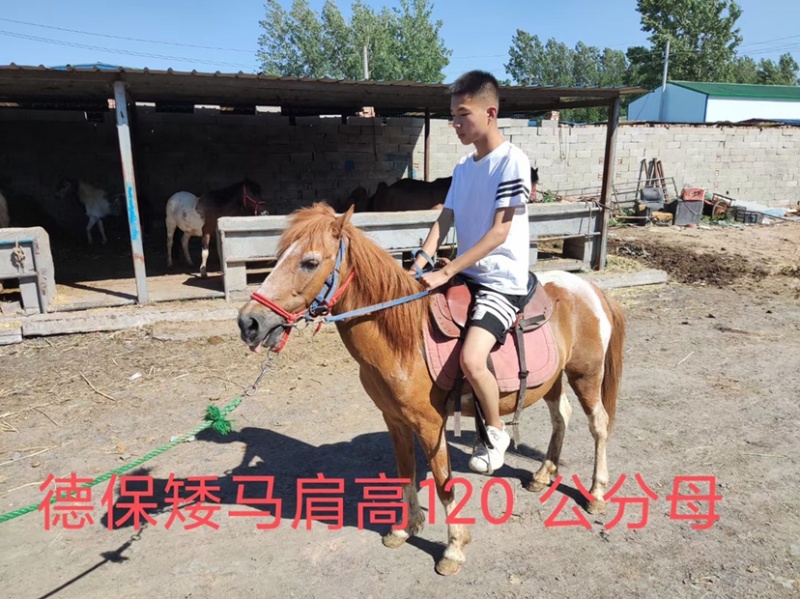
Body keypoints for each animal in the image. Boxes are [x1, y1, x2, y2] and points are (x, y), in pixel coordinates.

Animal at [236, 203, 625, 576]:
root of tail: (591, 290)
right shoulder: (395, 420)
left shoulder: (430, 425)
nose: (248, 322)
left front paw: (453, 548)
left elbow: (443, 483)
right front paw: (404, 527)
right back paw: (544, 474)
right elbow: (405, 472)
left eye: (310, 262)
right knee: (562, 416)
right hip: (552, 379)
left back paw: (596, 493)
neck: (404, 338)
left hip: (585, 375)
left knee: (599, 426)